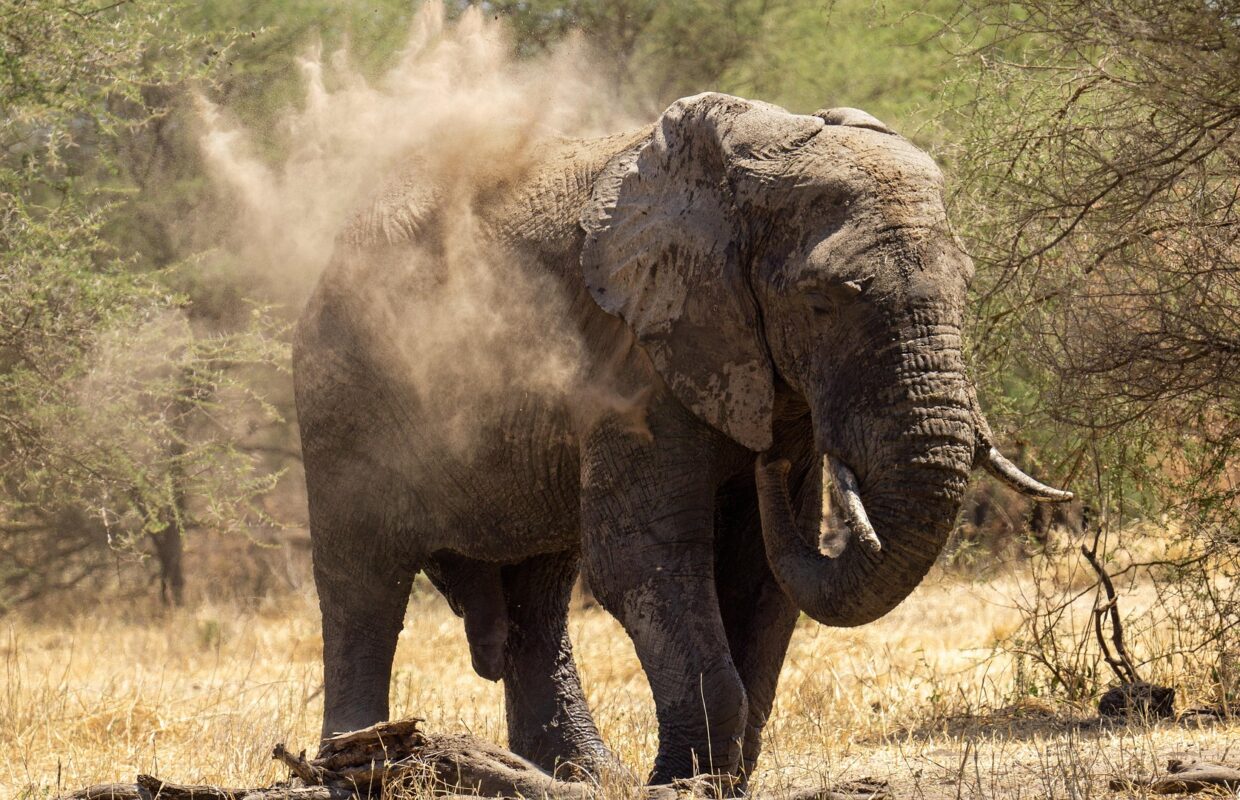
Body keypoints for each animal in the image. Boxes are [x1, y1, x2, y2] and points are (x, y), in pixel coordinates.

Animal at [292, 92, 1070, 787]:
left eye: (967, 285)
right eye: (821, 301)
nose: (767, 460)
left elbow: (760, 571)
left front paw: (716, 778)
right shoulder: (635, 352)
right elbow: (644, 558)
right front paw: (685, 783)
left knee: (539, 591)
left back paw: (583, 777)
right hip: (343, 392)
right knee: (363, 580)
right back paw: (353, 768)